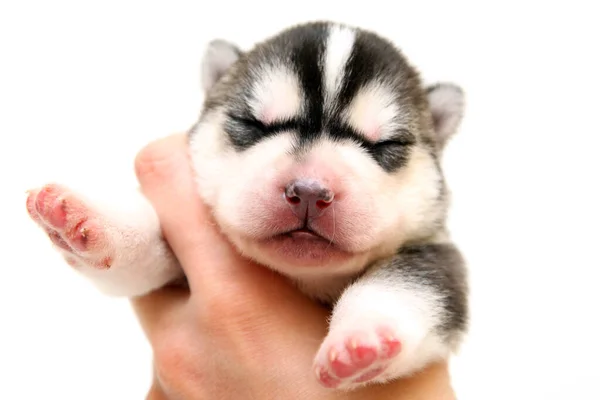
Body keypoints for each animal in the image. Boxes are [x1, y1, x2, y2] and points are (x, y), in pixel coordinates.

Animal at [27, 22, 468, 390]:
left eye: (385, 145)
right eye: (252, 123)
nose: (310, 190)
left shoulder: (436, 254)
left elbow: (408, 284)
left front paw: (365, 335)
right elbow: (145, 251)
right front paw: (95, 221)